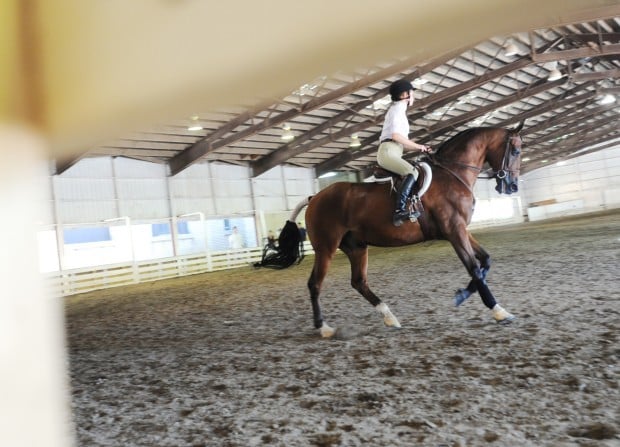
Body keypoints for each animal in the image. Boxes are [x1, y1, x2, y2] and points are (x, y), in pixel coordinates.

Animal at [278, 121, 524, 338]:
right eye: (516, 150)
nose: (512, 186)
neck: (452, 174)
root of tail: (315, 197)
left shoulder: (462, 229)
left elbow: (485, 261)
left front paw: (463, 295)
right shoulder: (455, 231)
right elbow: (474, 268)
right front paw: (499, 311)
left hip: (356, 246)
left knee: (358, 282)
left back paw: (389, 317)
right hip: (326, 248)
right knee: (315, 284)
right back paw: (324, 328)